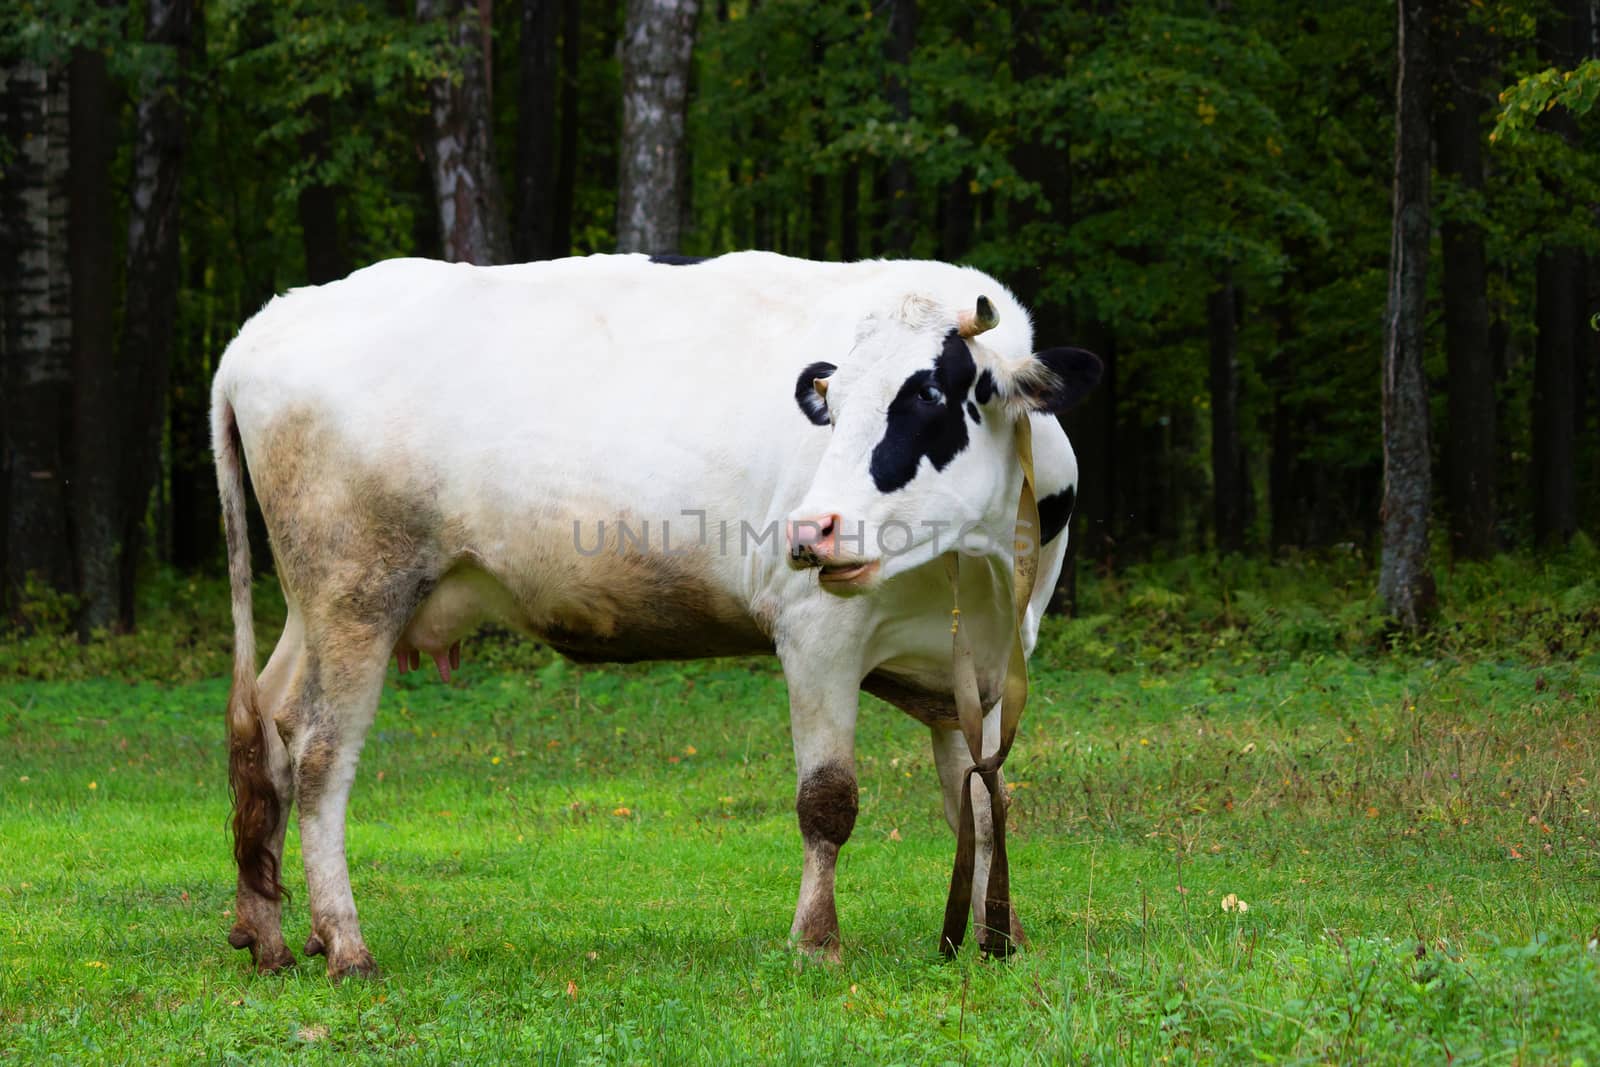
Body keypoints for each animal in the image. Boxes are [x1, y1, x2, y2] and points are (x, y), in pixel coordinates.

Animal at [209, 252, 1100, 979]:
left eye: (932, 393)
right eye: (833, 404)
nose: (811, 530)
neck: (972, 570)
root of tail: (269, 321)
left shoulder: (986, 660)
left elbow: (981, 801)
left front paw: (998, 936)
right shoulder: (817, 631)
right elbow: (829, 801)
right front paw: (816, 941)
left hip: (313, 604)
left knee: (269, 726)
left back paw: (272, 935)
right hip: (357, 589)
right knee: (321, 753)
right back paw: (345, 943)